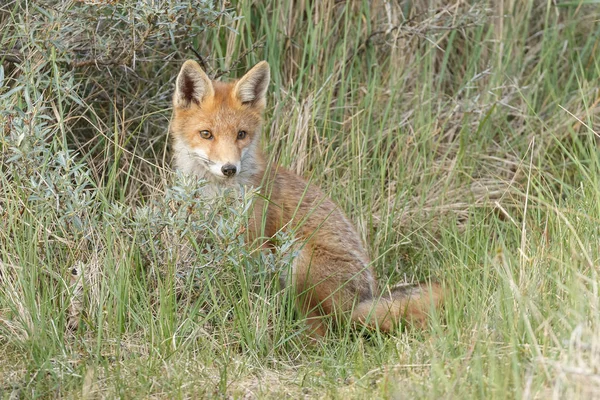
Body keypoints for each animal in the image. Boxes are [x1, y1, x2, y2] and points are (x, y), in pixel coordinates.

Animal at [169, 58, 440, 334]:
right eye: (206, 134)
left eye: (241, 134)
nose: (229, 169)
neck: (216, 195)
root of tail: (365, 299)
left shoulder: (254, 242)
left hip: (301, 262)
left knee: (323, 332)